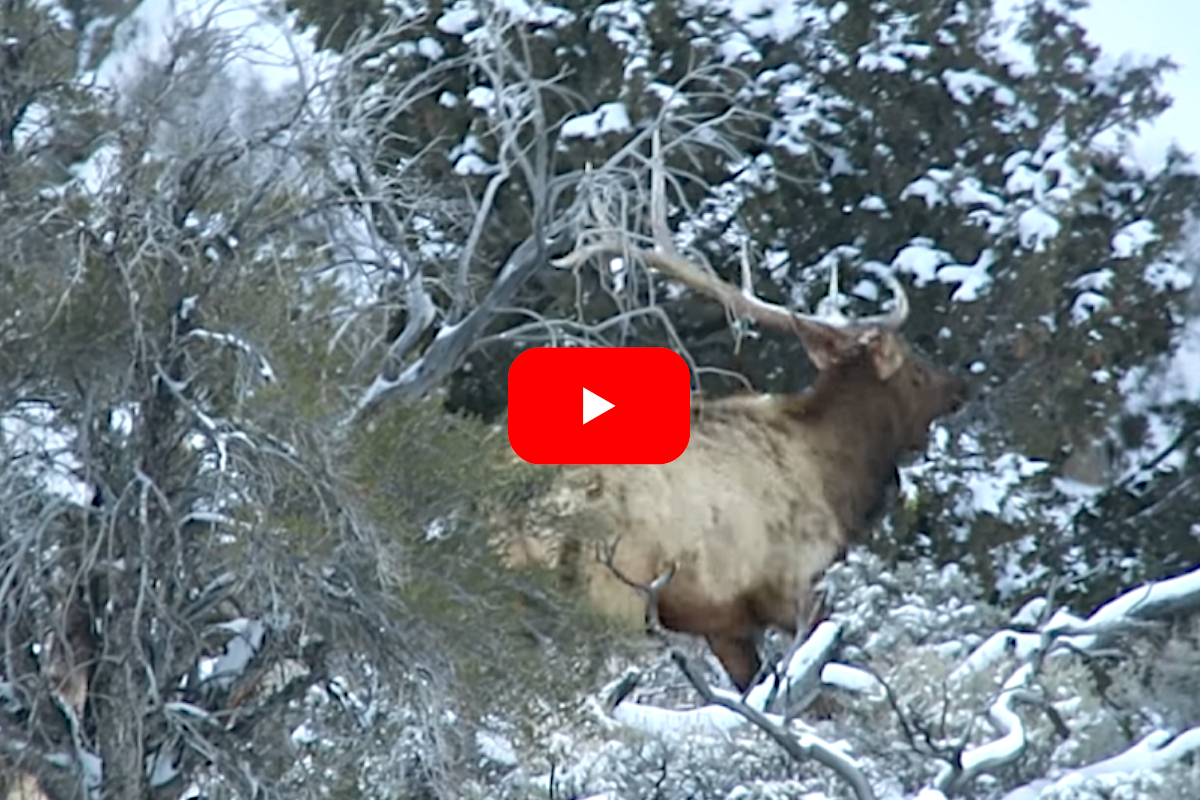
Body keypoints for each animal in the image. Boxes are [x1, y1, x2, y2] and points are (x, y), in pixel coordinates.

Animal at [504, 134, 964, 690]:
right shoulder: (796, 585)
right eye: (916, 368)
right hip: (612, 586)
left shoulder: (724, 621)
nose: (959, 387)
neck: (837, 478)